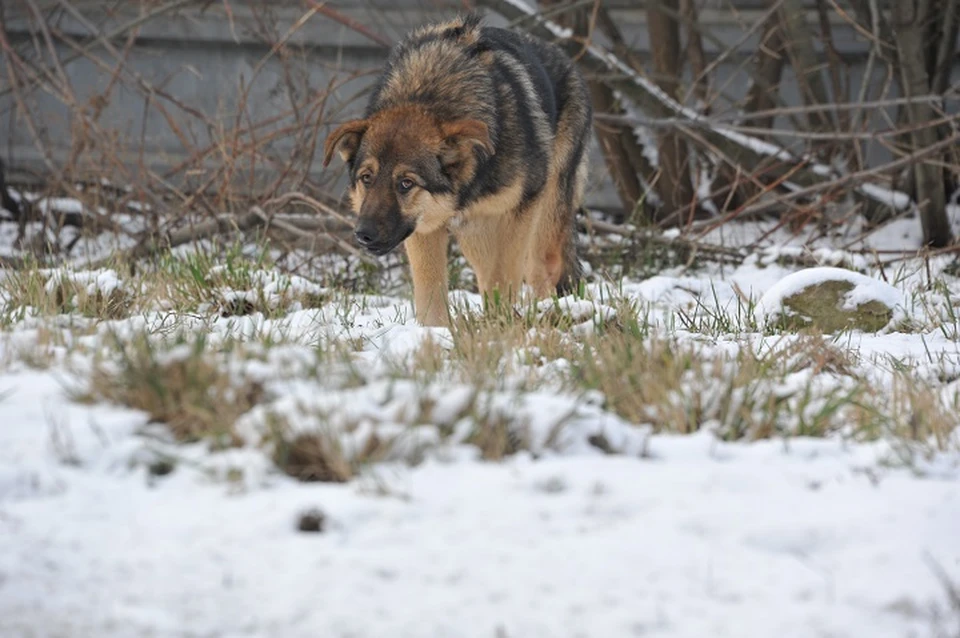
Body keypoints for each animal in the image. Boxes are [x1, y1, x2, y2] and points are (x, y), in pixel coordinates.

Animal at [324, 13, 592, 328]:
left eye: (406, 183)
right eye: (367, 178)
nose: (363, 235)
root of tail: (567, 60)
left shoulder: (518, 213)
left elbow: (504, 277)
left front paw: (501, 328)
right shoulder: (424, 228)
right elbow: (431, 295)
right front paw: (435, 335)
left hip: (541, 230)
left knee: (541, 271)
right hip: (477, 236)